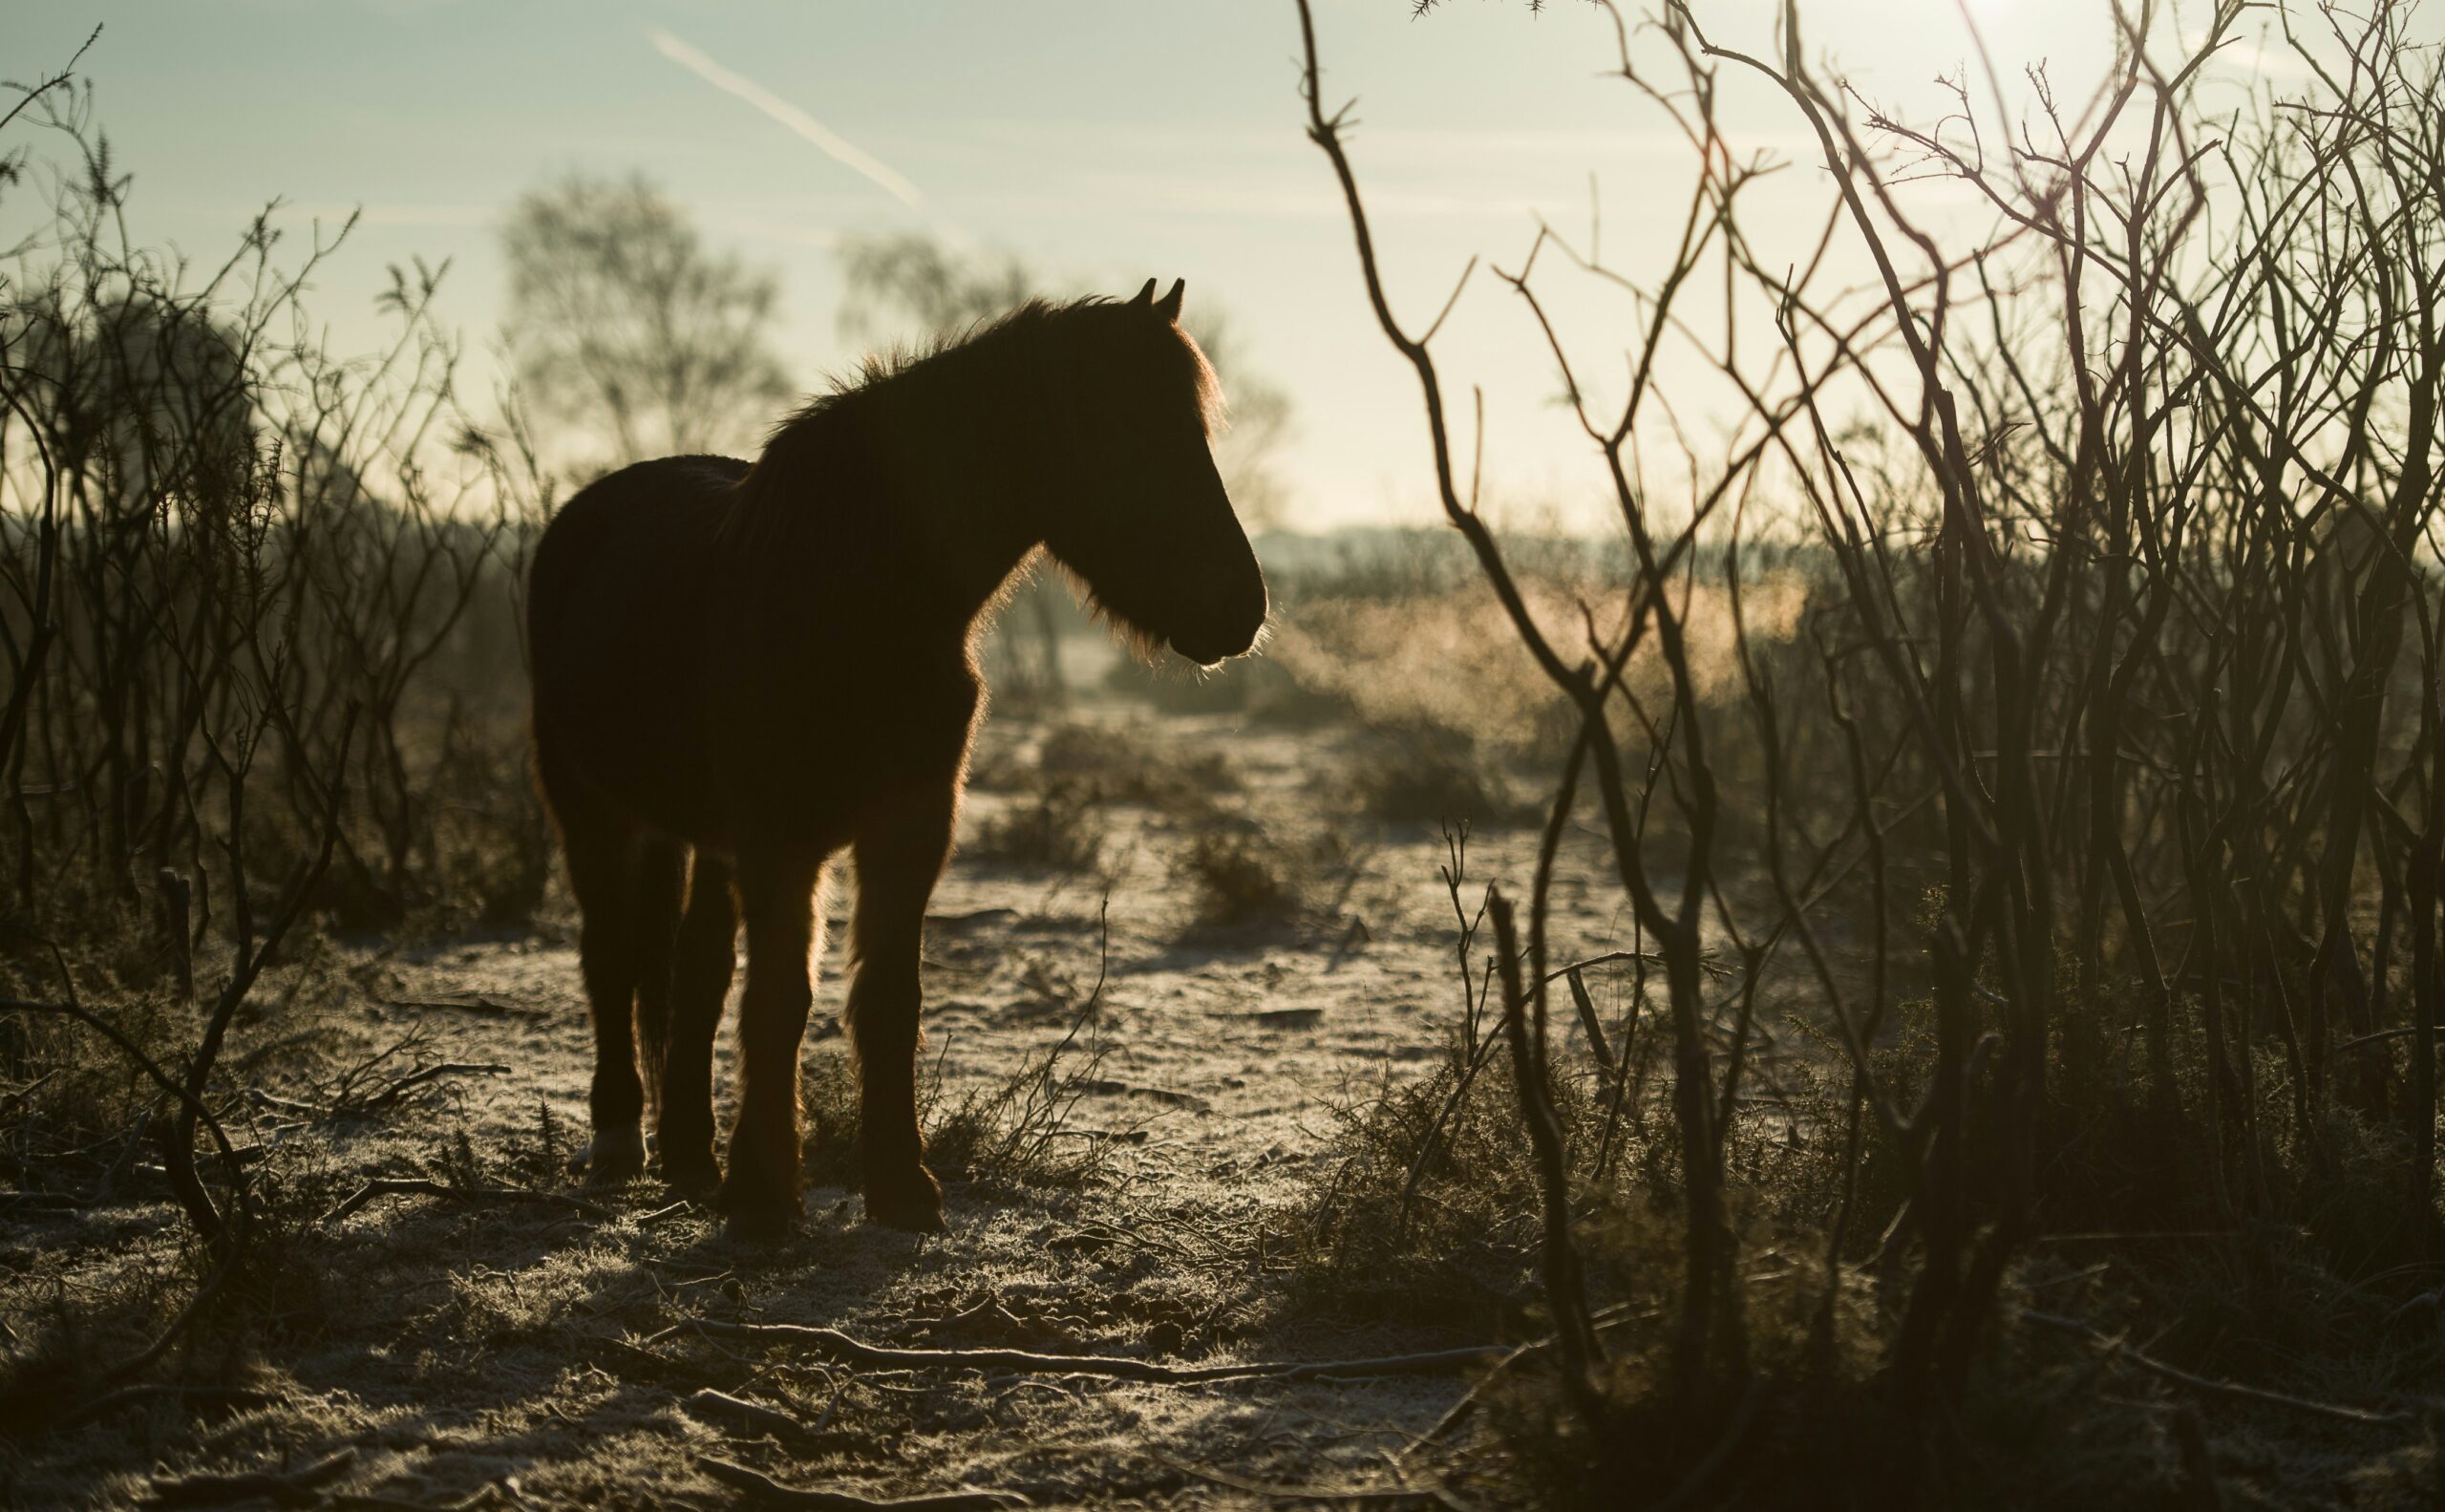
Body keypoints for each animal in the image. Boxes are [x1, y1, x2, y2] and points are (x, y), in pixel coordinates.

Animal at [525, 278, 1267, 1238]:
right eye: (1129, 433)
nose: (1242, 607)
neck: (859, 594)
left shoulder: (910, 827)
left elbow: (885, 1001)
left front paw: (899, 1185)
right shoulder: (782, 840)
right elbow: (781, 1001)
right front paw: (764, 1198)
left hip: (699, 837)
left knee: (693, 967)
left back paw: (689, 1154)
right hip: (591, 810)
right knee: (610, 956)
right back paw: (620, 1136)